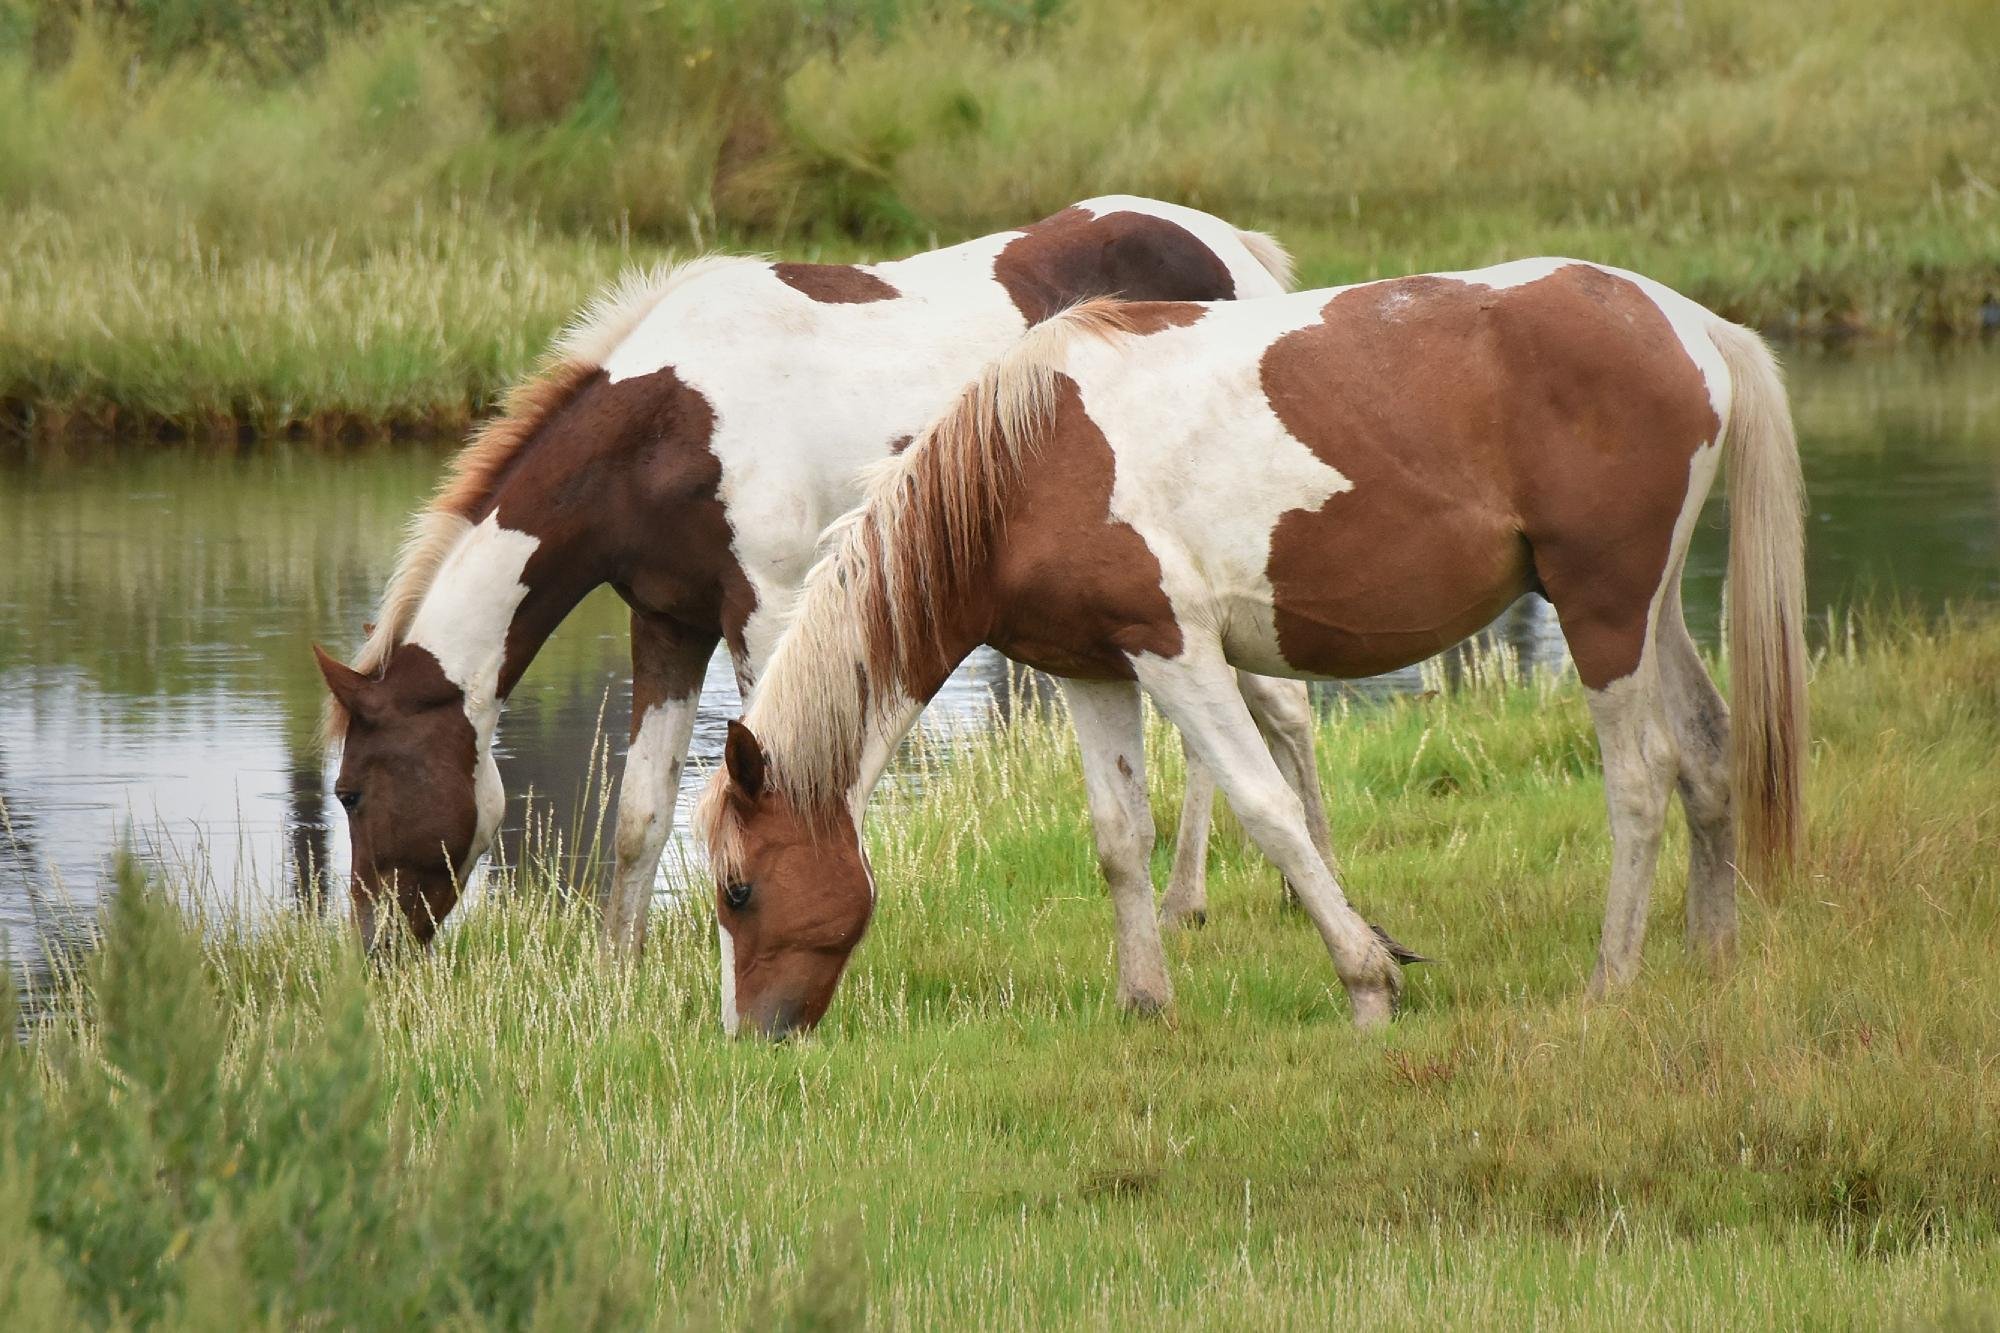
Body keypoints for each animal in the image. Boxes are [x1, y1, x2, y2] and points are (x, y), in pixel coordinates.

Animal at [700, 256, 1816, 1024]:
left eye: (738, 888)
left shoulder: (1175, 650)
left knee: (1641, 779)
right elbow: (1119, 836)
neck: (1027, 466)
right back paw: (1709, 954)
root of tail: (1691, 324)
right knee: (1708, 753)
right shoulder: (1088, 670)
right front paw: (1144, 1004)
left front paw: (1367, 980)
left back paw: (1610, 979)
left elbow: (1268, 807)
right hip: (1646, 609)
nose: (756, 1035)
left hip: (1603, 611)